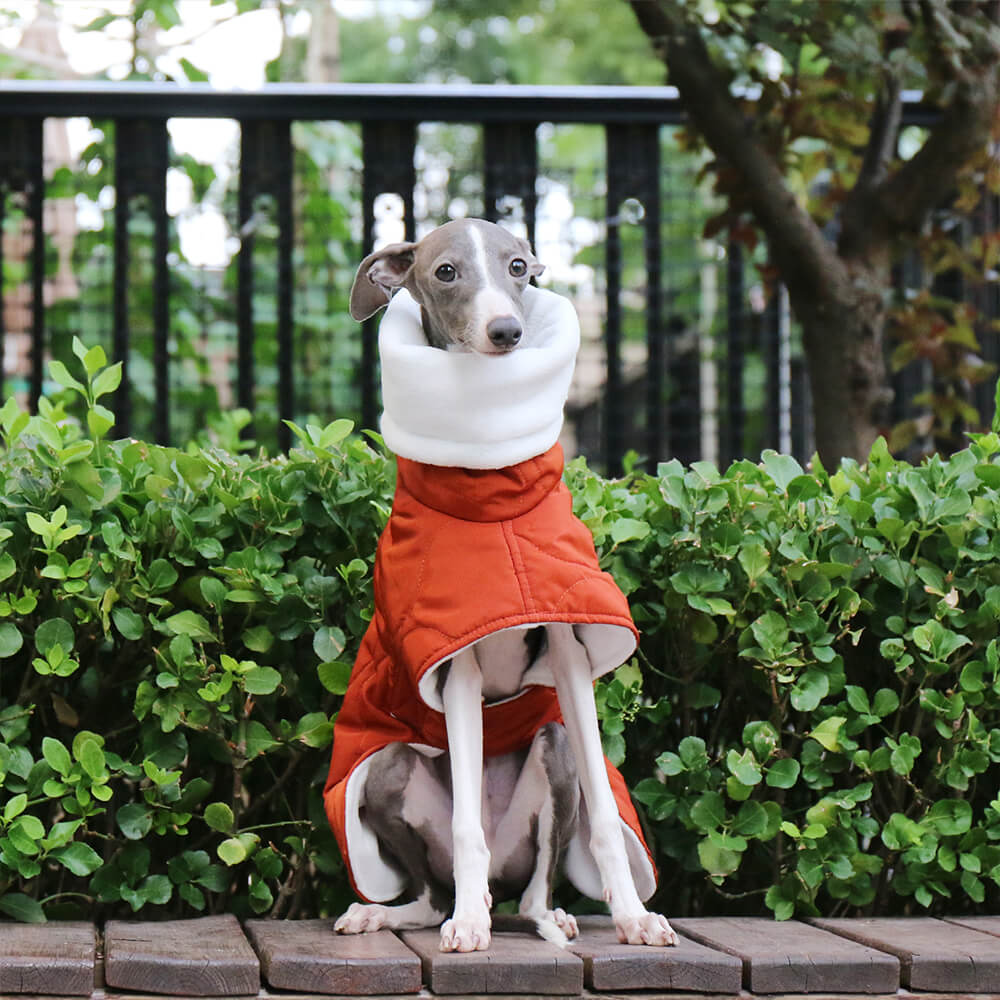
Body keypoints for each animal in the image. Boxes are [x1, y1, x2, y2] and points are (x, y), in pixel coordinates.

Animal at [324, 219, 676, 952]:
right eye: (446, 271)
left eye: (518, 266)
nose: (507, 331)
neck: (492, 501)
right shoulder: (453, 661)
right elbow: (464, 830)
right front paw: (467, 926)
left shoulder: (568, 649)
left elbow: (607, 813)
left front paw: (634, 916)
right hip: (390, 766)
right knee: (434, 890)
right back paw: (411, 910)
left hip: (552, 753)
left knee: (537, 887)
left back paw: (554, 917)